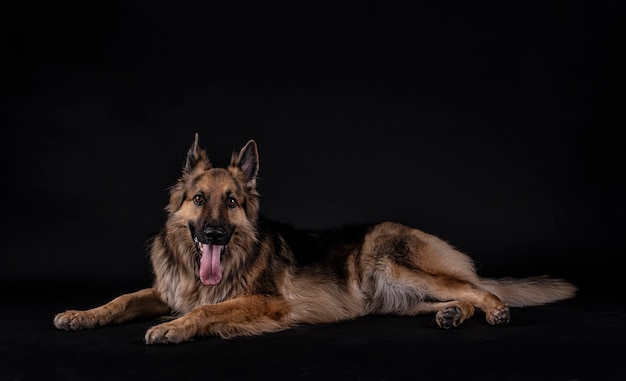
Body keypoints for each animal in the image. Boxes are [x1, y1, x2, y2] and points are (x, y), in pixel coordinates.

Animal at [53, 134, 576, 344]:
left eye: (232, 202)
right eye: (199, 199)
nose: (215, 233)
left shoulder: (267, 303)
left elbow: (207, 310)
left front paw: (174, 328)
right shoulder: (167, 291)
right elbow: (121, 300)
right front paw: (81, 315)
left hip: (390, 262)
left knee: (476, 287)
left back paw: (493, 309)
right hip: (390, 298)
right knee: (451, 297)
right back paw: (452, 315)